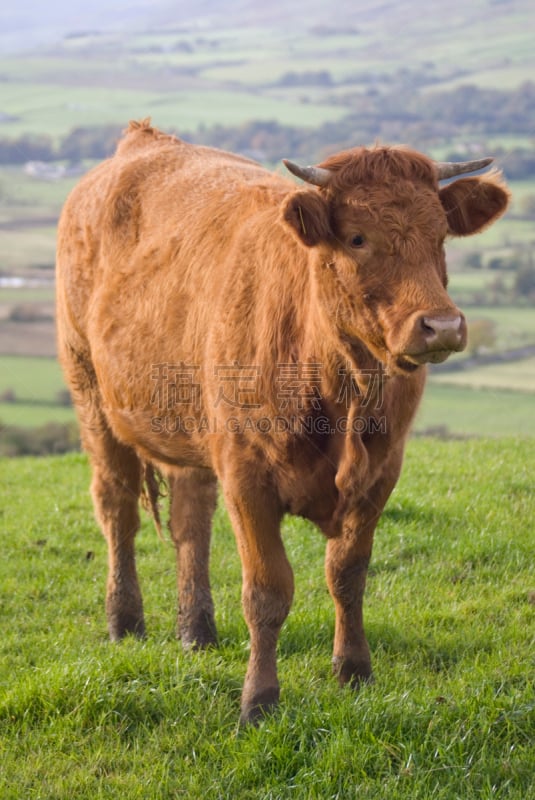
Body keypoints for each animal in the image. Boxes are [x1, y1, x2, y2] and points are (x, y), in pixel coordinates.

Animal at [55, 119, 510, 724]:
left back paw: (196, 631)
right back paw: (124, 622)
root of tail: (143, 141)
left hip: (189, 425)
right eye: (357, 237)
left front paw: (354, 671)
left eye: (440, 236)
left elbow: (347, 574)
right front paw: (259, 700)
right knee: (117, 510)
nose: (441, 326)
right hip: (90, 394)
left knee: (190, 520)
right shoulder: (248, 476)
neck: (340, 386)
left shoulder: (381, 472)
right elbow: (268, 591)